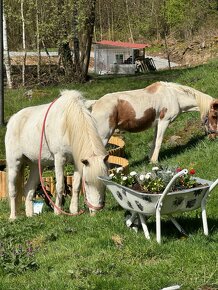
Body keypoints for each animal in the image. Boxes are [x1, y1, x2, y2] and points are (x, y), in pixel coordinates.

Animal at [5, 89, 109, 219]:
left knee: (28, 189)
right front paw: (58, 212)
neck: (68, 122)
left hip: (36, 166)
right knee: (12, 190)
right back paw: (13, 217)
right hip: (14, 163)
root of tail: (13, 119)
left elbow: (76, 186)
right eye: (87, 182)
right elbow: (60, 186)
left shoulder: (78, 162)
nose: (96, 211)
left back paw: (30, 215)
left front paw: (74, 210)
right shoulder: (59, 158)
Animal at [87, 81, 217, 163]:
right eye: (214, 115)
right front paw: (155, 162)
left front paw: (150, 159)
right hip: (103, 137)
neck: (174, 96)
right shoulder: (164, 122)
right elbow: (159, 141)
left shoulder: (157, 124)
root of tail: (95, 104)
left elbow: (154, 142)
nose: (214, 136)